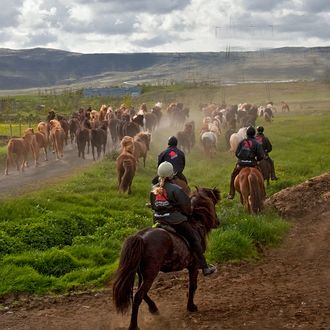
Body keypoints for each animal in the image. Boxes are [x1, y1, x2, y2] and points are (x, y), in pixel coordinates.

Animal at [112, 187, 220, 328]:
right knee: (138, 296)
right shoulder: (194, 265)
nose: (218, 222)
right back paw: (134, 325)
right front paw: (191, 307)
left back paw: (154, 309)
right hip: (150, 273)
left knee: (141, 293)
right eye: (213, 202)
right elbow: (192, 286)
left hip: (141, 273)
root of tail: (141, 237)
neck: (195, 222)